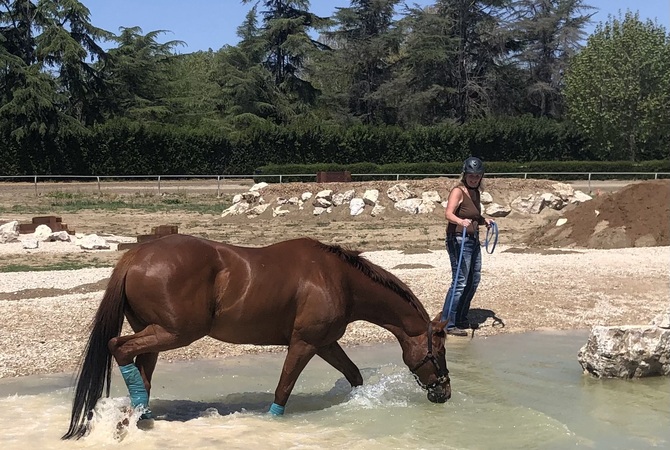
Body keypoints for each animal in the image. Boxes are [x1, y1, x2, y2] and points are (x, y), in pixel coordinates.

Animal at [63, 236, 452, 440]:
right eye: (440, 348)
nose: (444, 392)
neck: (339, 279)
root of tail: (137, 254)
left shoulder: (326, 343)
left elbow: (354, 374)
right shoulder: (305, 344)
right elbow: (283, 389)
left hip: (156, 334)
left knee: (140, 371)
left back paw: (138, 416)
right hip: (174, 333)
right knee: (119, 348)